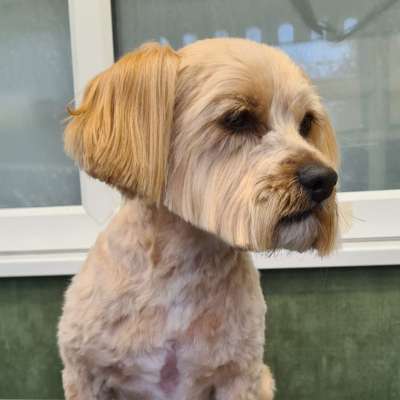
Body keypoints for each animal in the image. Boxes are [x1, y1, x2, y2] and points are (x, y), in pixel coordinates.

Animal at [57, 37, 340, 400]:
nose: (324, 180)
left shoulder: (240, 376)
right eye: (237, 119)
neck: (179, 268)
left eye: (306, 123)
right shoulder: (84, 372)